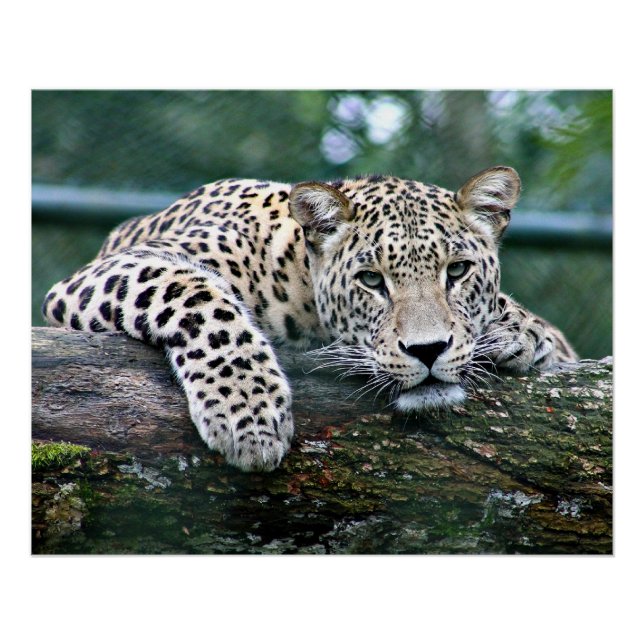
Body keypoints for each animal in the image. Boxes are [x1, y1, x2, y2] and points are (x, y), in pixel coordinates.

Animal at [42, 165, 577, 472]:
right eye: (371, 280)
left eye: (459, 271)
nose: (427, 351)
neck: (296, 276)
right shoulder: (111, 270)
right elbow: (199, 297)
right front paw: (249, 415)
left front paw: (522, 332)